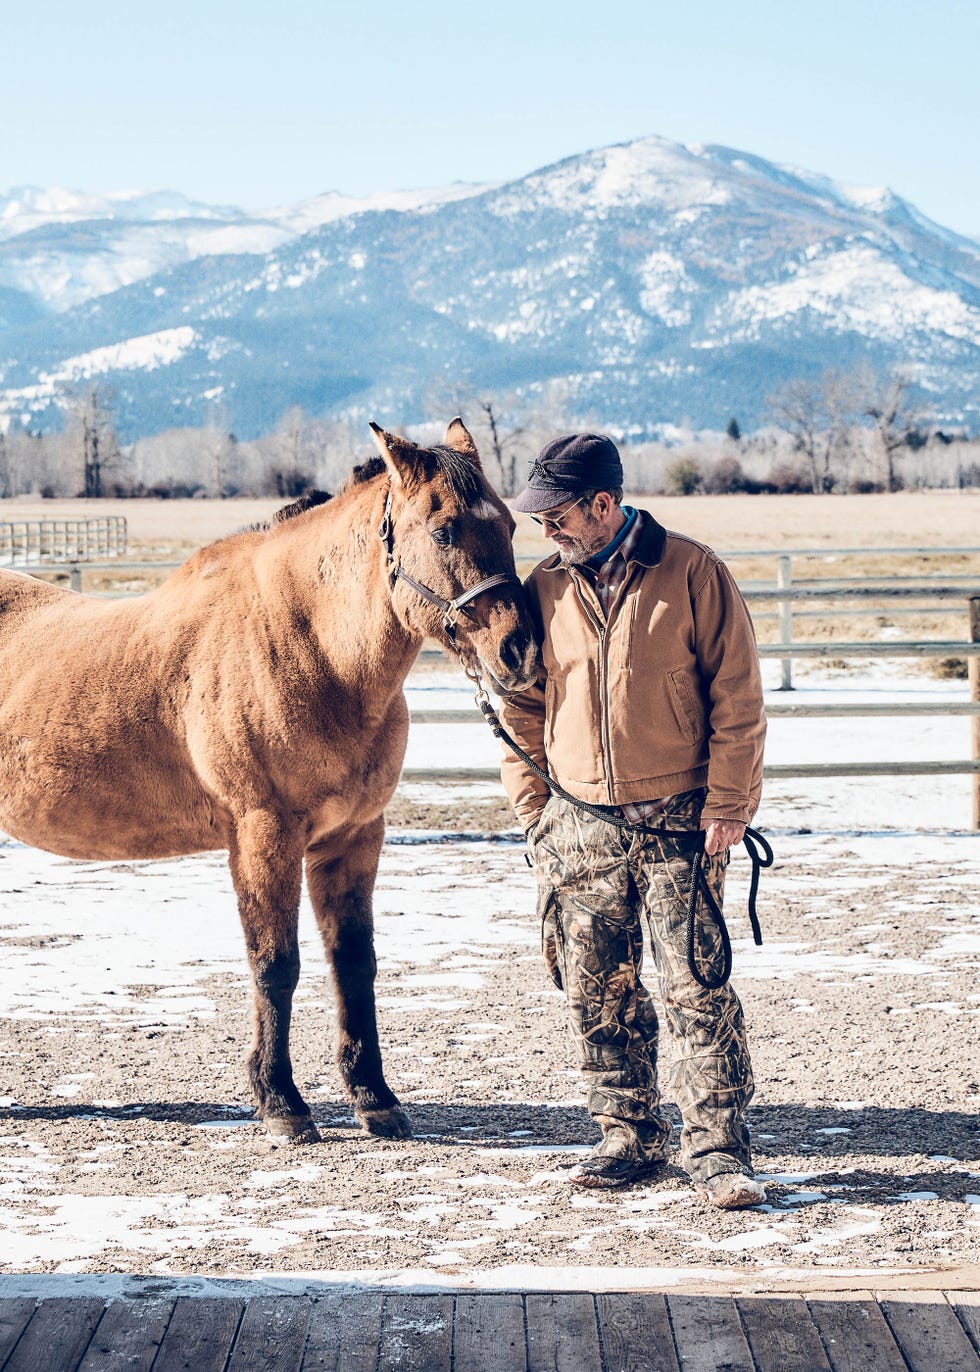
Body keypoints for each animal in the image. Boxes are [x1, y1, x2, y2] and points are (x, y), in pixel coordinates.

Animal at [0, 419, 535, 1146]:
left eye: (509, 522)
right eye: (445, 530)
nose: (520, 649)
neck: (311, 648)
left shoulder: (354, 837)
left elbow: (354, 964)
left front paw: (374, 1099)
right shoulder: (263, 835)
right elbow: (275, 965)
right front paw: (283, 1103)